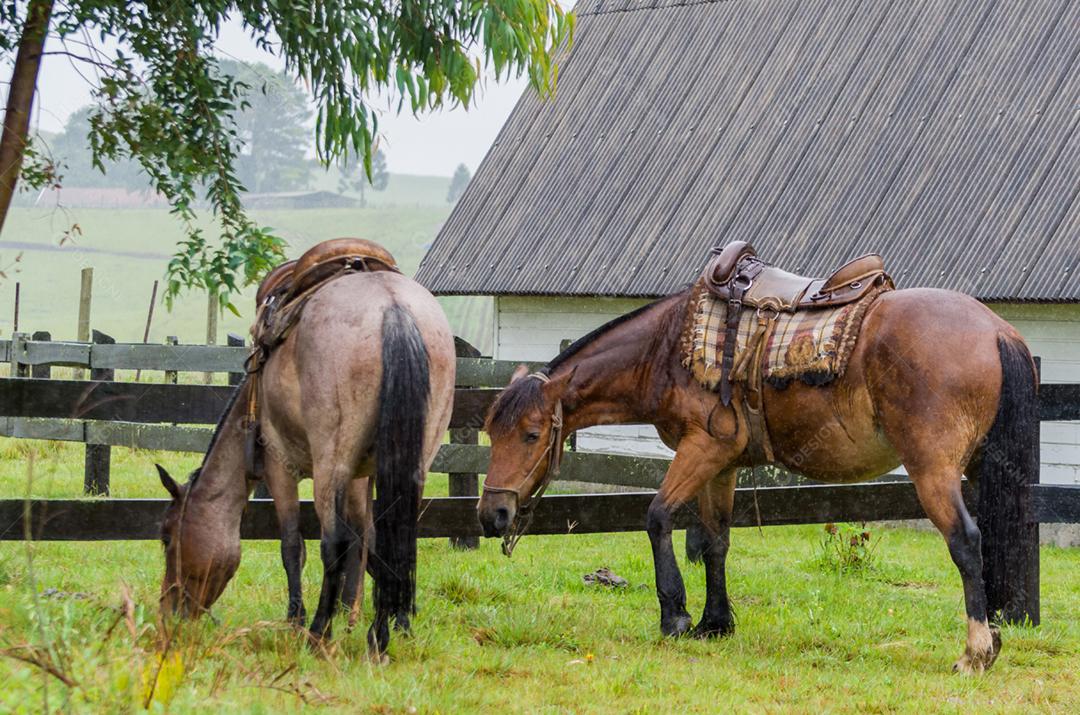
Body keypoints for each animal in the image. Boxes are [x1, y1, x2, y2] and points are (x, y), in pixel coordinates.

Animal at [156, 268, 455, 654]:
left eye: (166, 537)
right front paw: (377, 616)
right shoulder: (360, 478)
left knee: (333, 544)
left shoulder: (279, 467)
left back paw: (318, 631)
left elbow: (293, 546)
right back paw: (379, 635)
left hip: (330, 465)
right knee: (400, 538)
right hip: (414, 461)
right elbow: (369, 540)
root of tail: (393, 308)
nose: (169, 611)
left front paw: (296, 618)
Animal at [477, 274, 1036, 674]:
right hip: (978, 470)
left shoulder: (702, 448)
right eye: (489, 430)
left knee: (965, 541)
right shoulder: (720, 466)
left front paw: (675, 615)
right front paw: (715, 622)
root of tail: (996, 329)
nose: (492, 514)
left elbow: (658, 516)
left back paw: (975, 652)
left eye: (530, 434)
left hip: (933, 470)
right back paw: (994, 638)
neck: (667, 347)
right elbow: (716, 540)